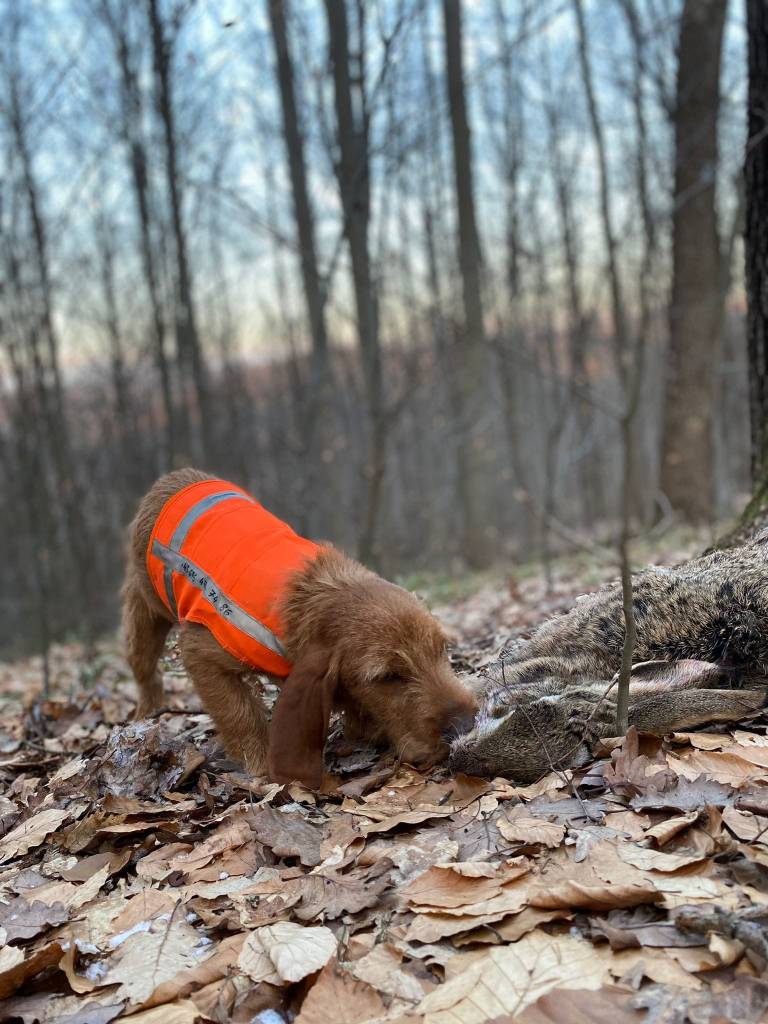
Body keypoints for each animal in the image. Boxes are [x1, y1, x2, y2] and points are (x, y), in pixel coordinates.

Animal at [121, 469, 476, 788]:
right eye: (388, 677)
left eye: (442, 649)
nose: (466, 724)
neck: (315, 593)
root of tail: (172, 479)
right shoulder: (202, 652)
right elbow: (240, 714)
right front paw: (261, 765)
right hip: (144, 615)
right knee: (145, 670)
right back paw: (148, 712)